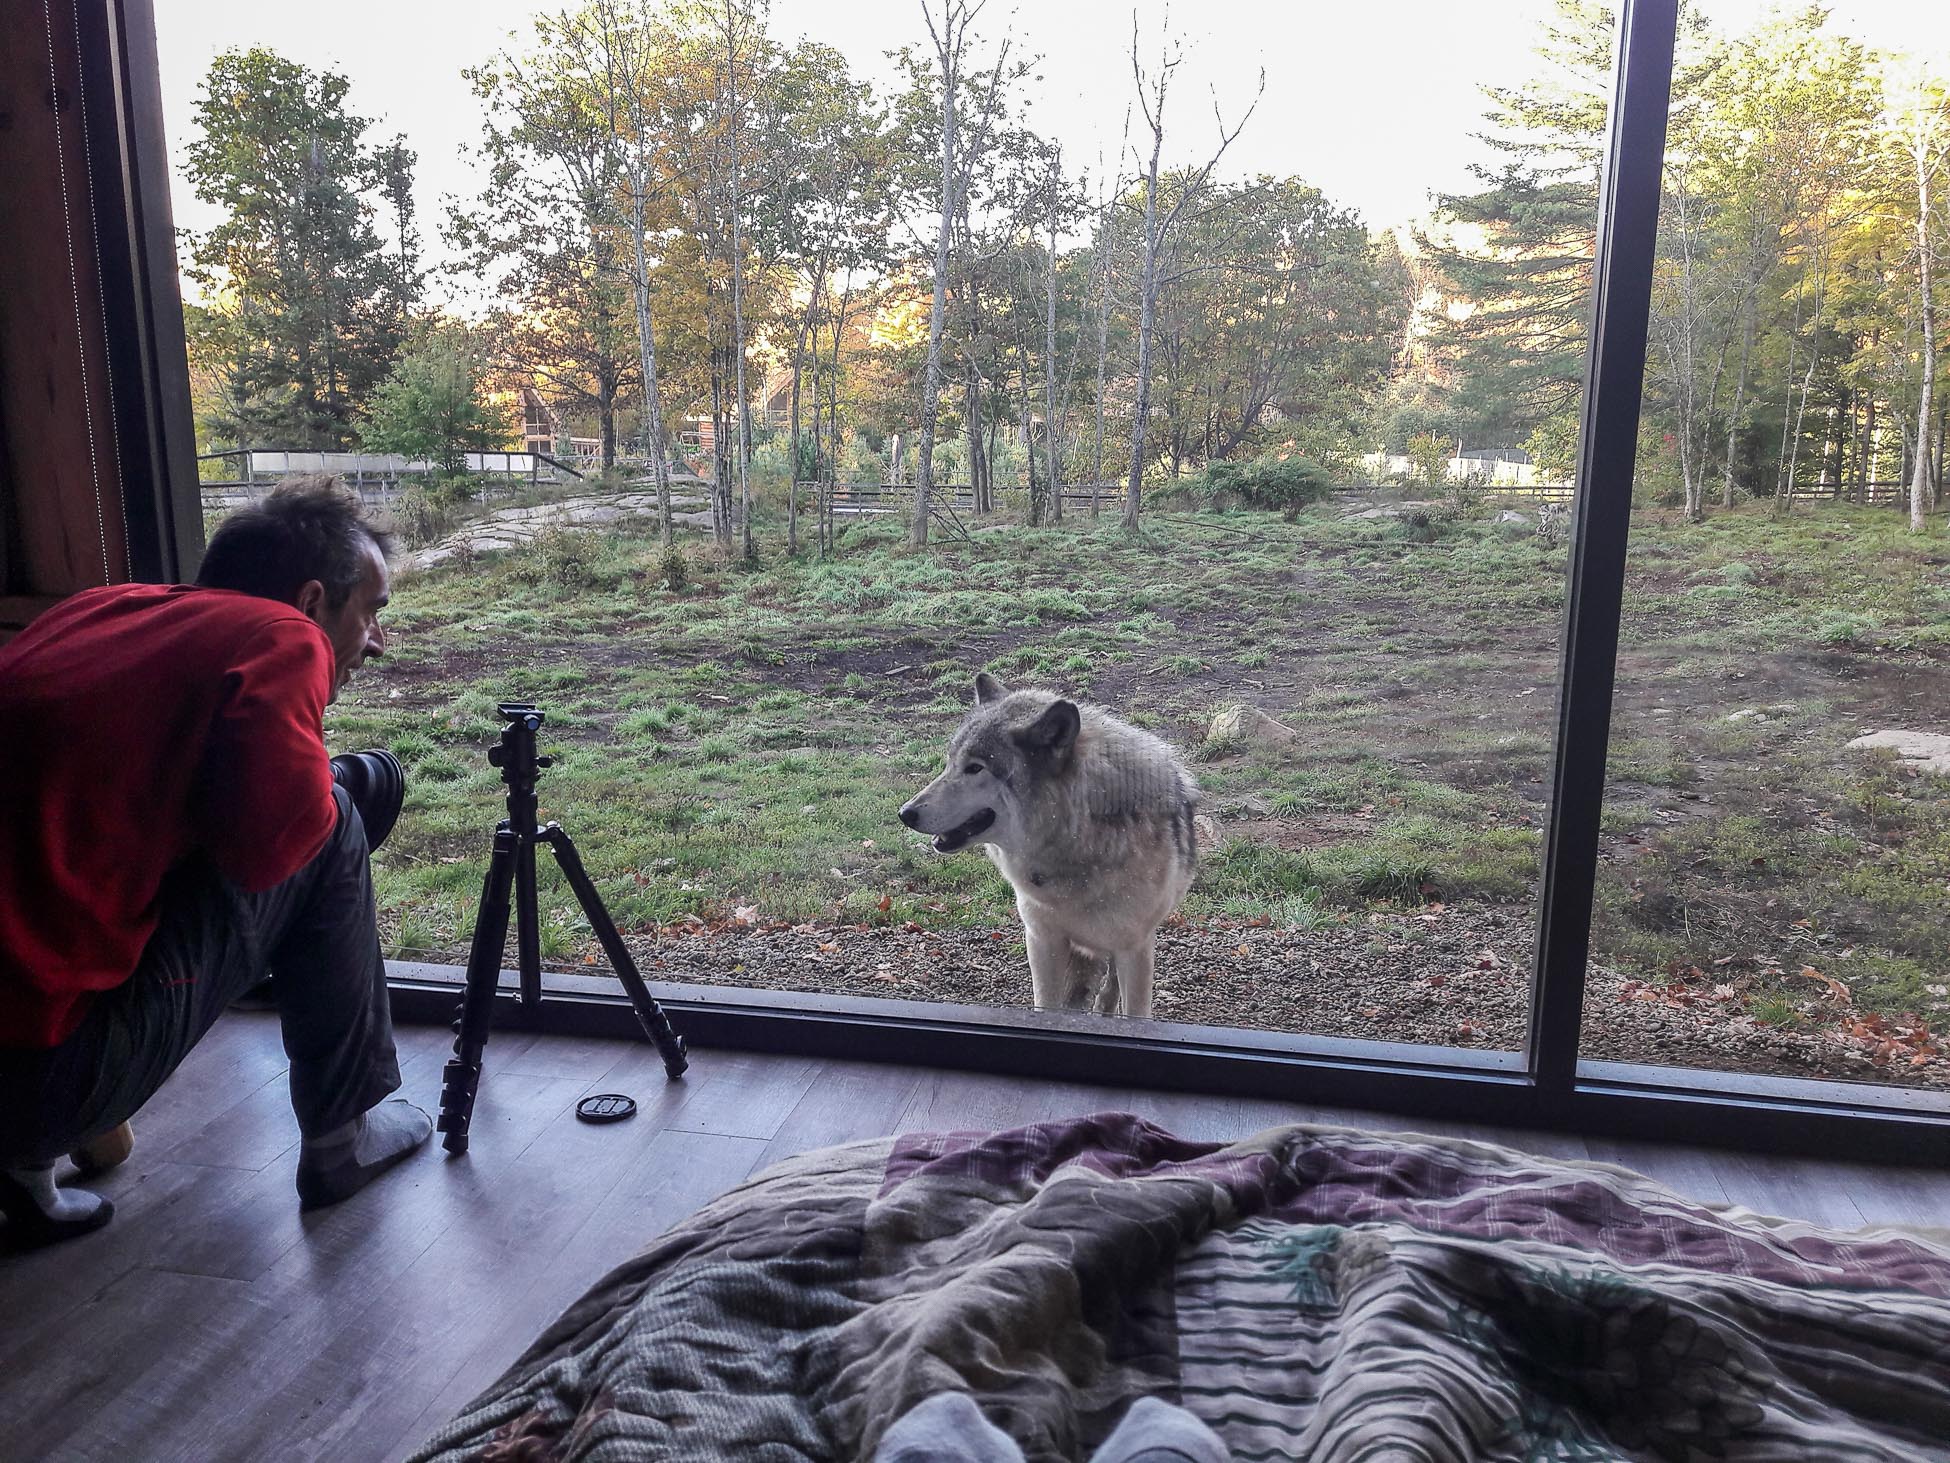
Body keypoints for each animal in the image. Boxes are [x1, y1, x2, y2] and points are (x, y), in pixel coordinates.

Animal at [900, 674, 1201, 1022]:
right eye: (950, 764)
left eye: (975, 768)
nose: (905, 813)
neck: (1079, 843)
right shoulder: (1043, 939)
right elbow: (1047, 1005)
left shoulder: (1135, 946)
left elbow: (1135, 1011)